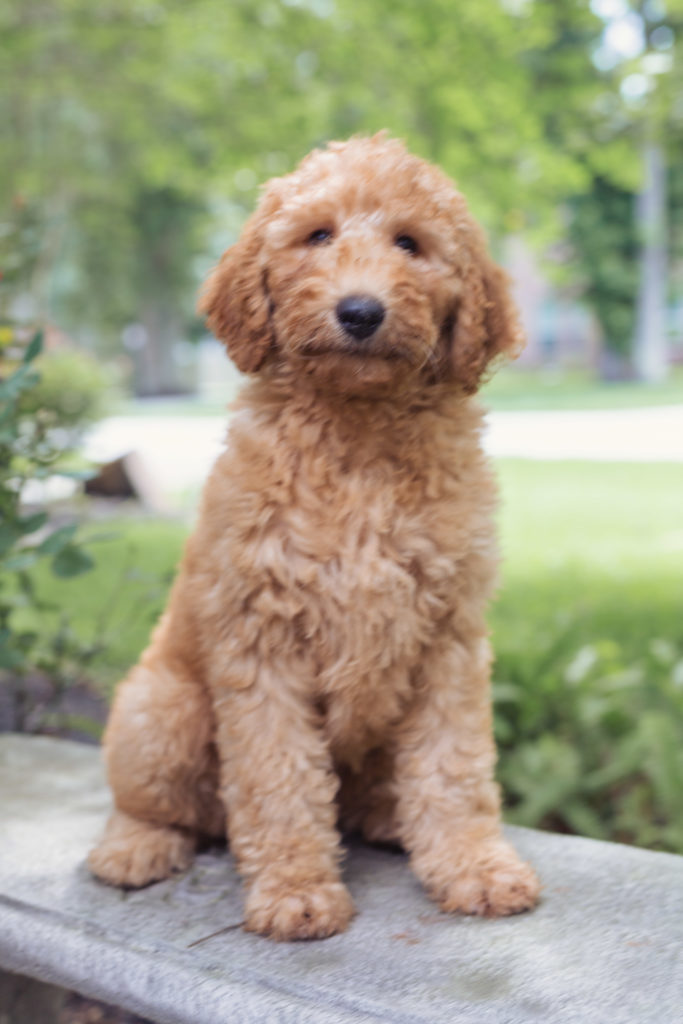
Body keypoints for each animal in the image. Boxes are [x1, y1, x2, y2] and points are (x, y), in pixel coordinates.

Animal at [89, 138, 540, 942]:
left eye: (409, 243)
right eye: (317, 235)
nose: (359, 311)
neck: (357, 435)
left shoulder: (449, 638)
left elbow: (453, 769)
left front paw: (475, 866)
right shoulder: (260, 643)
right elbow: (278, 776)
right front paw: (297, 890)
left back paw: (388, 816)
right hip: (161, 712)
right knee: (160, 804)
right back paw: (135, 847)